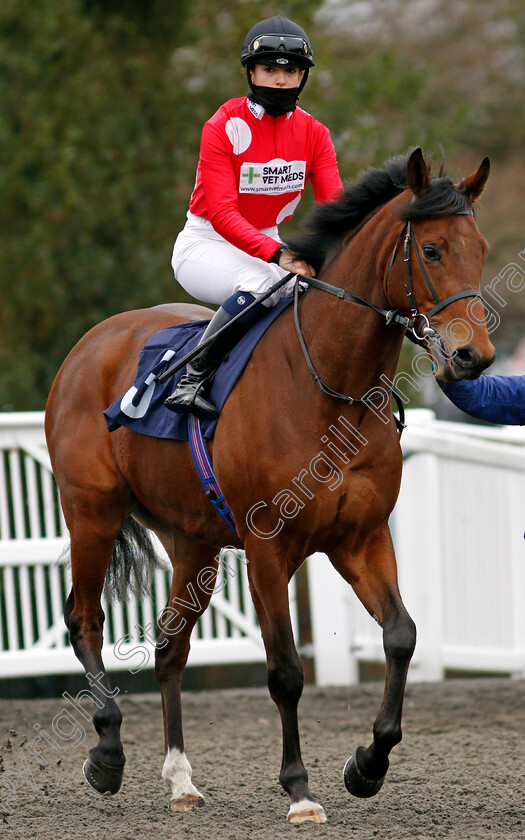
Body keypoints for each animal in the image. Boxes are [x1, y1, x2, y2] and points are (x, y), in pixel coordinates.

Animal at [46, 148, 496, 824]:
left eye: (483, 248)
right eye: (434, 250)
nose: (475, 357)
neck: (331, 387)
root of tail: (89, 345)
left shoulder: (361, 539)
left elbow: (401, 636)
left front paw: (367, 765)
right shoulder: (268, 548)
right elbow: (284, 669)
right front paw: (300, 789)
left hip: (194, 542)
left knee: (170, 646)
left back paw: (180, 779)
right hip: (92, 512)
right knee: (85, 620)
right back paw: (106, 751)